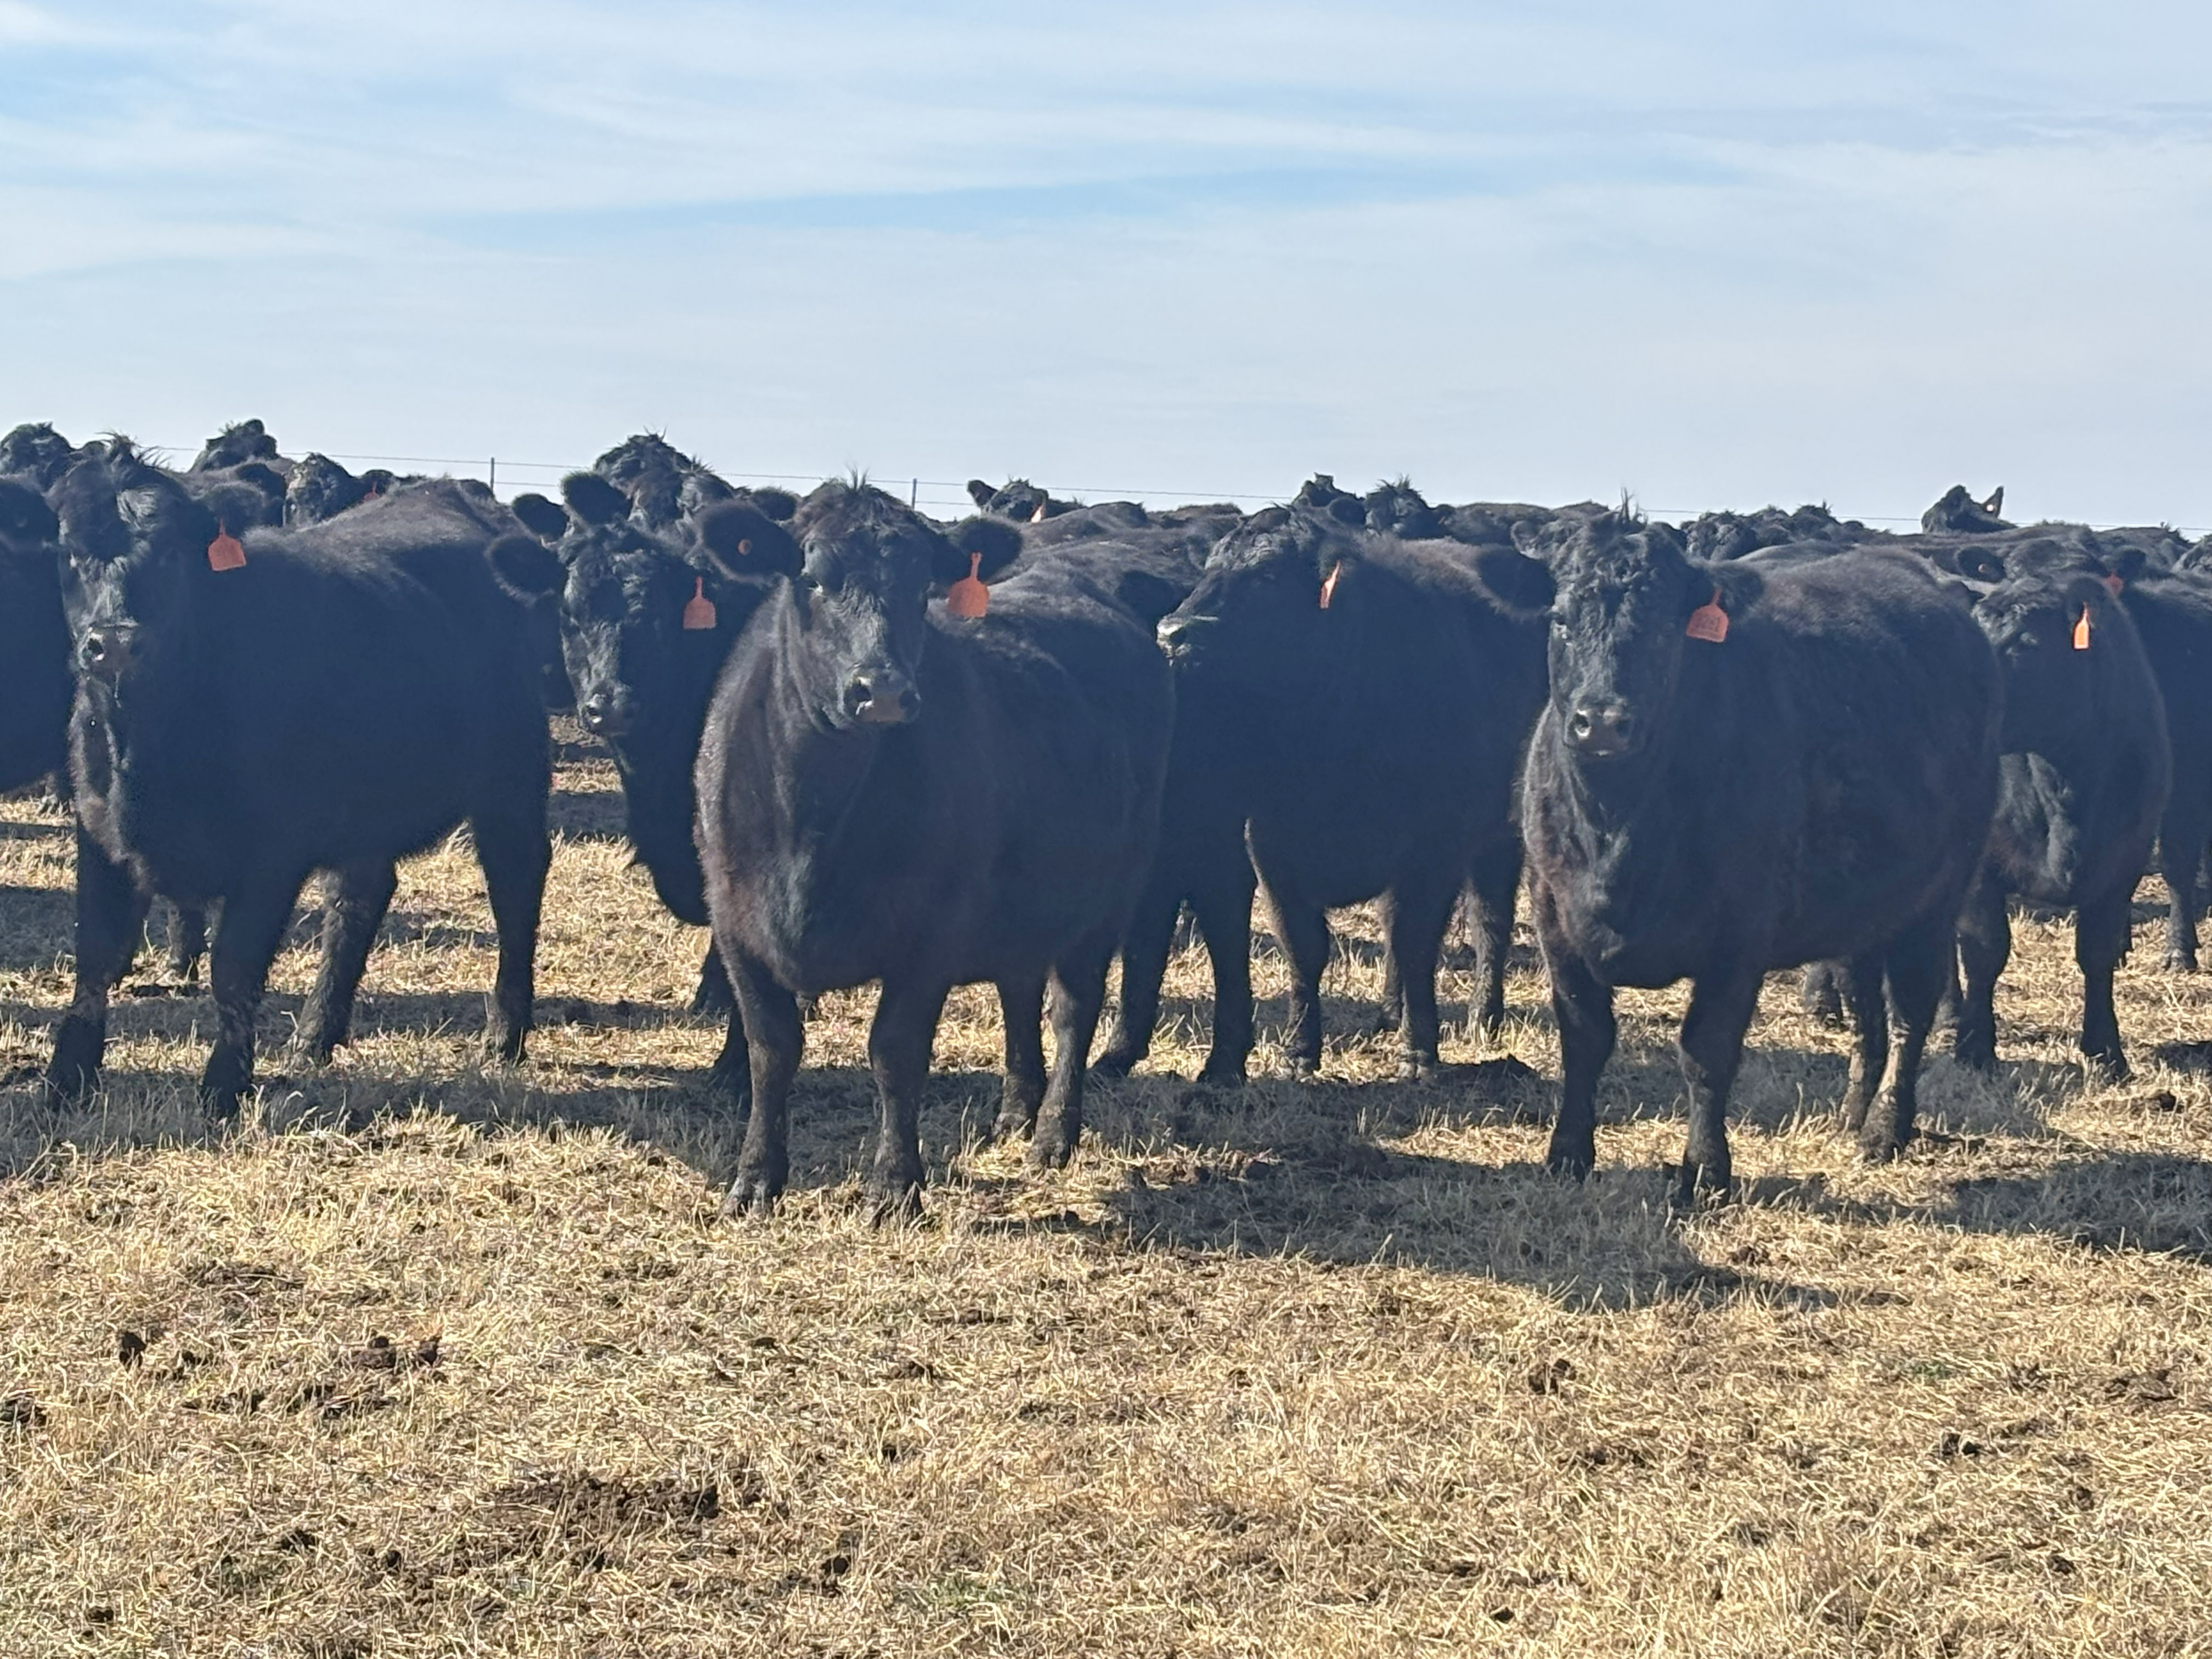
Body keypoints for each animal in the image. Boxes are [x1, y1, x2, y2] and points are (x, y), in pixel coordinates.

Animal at [42, 442, 551, 1117]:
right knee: (361, 895)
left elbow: (234, 969)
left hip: (512, 777)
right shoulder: (98, 832)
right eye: (71, 551)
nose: (117, 643)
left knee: (516, 885)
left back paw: (504, 1033)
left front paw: (224, 1087)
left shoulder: (270, 855)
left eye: (171, 555)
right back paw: (315, 1034)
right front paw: (65, 1078)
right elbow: (96, 956)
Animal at [693, 480, 1173, 1218]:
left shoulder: (929, 934)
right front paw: (754, 1180)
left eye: (923, 587)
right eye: (812, 578)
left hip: (1105, 898)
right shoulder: (737, 925)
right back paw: (1014, 1112)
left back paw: (1053, 1135)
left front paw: (895, 1186)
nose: (883, 690)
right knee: (1017, 987)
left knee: (1073, 1010)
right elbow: (769, 1051)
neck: (811, 826)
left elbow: (895, 1053)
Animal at [1147, 506, 1551, 1080]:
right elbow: (1306, 948)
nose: (1172, 633)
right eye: (1211, 568)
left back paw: (1482, 1017)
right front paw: (1299, 1052)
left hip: (1500, 835)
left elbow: (1415, 941)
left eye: (1267, 576)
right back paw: (1390, 1011)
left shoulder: (1433, 848)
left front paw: (1419, 1053)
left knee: (1488, 919)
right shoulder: (1270, 848)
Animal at [1522, 514, 2002, 1201]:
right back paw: (1852, 1113)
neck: (1618, 827)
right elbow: (1584, 1039)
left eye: (1664, 628)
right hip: (1860, 908)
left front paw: (1705, 1171)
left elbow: (1705, 1053)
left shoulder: (1738, 939)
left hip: (1937, 895)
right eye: (1560, 619)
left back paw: (1885, 1128)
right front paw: (1567, 1153)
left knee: (1911, 1007)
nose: (1603, 722)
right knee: (1865, 1006)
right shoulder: (1555, 918)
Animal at [1952, 540, 2170, 1078]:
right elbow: (1985, 948)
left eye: (2026, 644)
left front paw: (2107, 1051)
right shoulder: (1980, 862)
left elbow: (2097, 951)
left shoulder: (2125, 859)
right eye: (1978, 627)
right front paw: (1974, 1046)